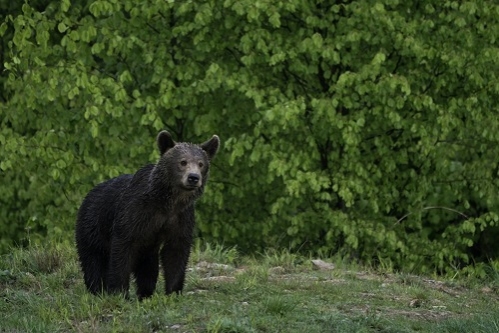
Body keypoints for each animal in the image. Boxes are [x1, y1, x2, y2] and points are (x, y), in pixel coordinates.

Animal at [75, 131, 220, 300]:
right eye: (182, 162)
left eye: (201, 163)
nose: (193, 177)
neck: (167, 201)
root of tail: (89, 193)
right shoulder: (135, 212)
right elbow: (122, 249)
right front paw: (119, 292)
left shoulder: (180, 218)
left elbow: (176, 252)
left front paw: (173, 292)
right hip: (92, 227)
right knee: (93, 261)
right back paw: (97, 289)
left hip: (147, 249)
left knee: (148, 268)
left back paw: (145, 293)